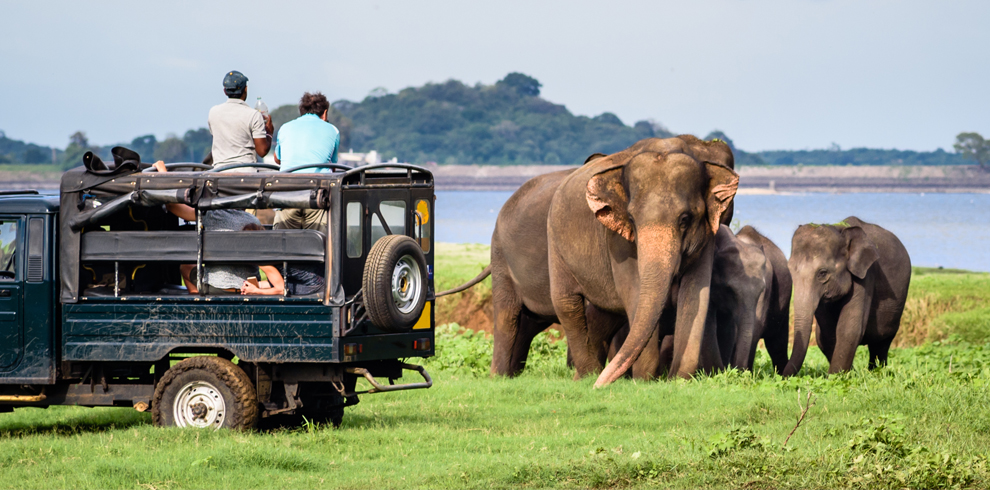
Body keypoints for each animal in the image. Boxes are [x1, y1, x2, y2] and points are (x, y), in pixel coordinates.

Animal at [556, 149, 740, 386]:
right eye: (631, 219)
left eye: (685, 219)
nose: (599, 387)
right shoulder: (618, 242)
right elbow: (634, 292)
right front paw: (644, 381)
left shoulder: (707, 237)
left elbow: (696, 295)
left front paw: (676, 380)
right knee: (567, 305)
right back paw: (588, 376)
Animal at [784, 215, 916, 376]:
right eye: (790, 270)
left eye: (823, 273)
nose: (781, 375)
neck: (840, 229)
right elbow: (826, 335)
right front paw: (846, 374)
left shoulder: (866, 274)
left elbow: (848, 328)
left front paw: (835, 377)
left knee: (881, 343)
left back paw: (876, 372)